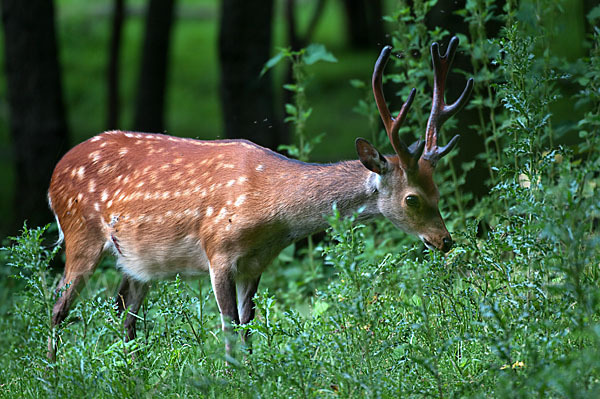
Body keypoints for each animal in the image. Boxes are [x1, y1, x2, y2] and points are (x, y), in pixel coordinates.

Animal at [47, 36, 474, 360]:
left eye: (438, 191)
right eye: (412, 199)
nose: (445, 240)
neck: (272, 215)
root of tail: (54, 173)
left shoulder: (255, 264)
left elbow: (248, 326)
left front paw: (253, 371)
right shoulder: (217, 250)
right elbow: (229, 326)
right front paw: (233, 375)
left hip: (137, 262)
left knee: (125, 313)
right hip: (81, 234)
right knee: (57, 306)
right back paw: (51, 372)